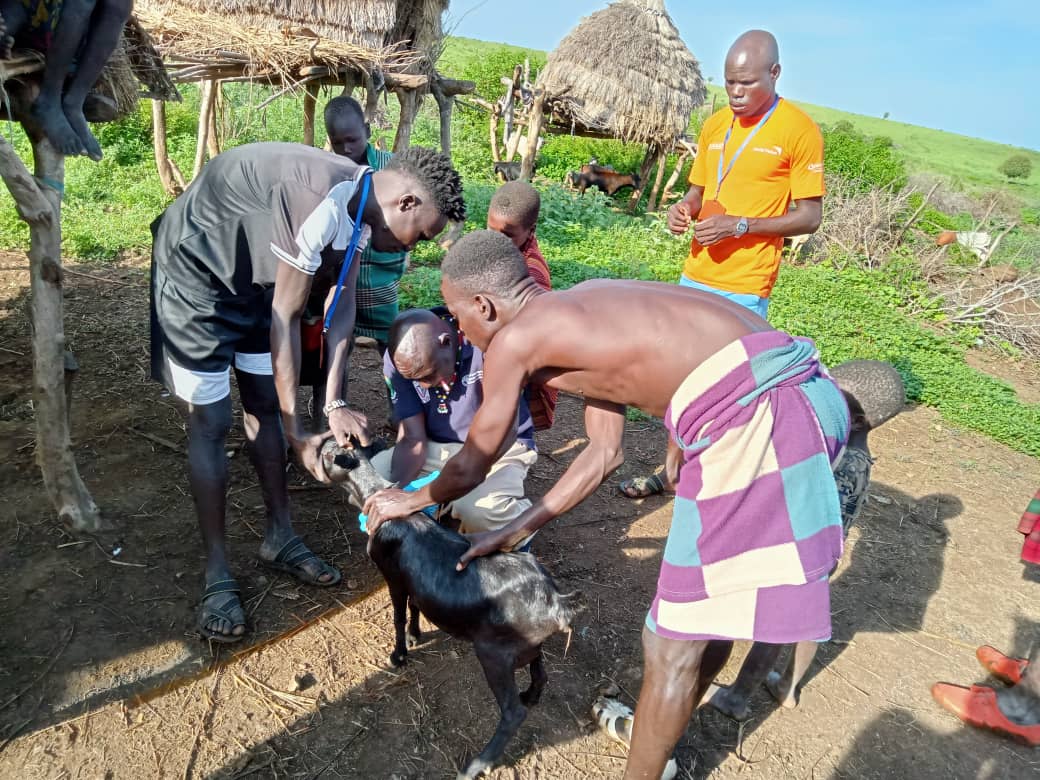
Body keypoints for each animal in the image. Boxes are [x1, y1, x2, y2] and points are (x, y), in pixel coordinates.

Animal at [322, 443, 586, 780]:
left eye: (327, 454)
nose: (314, 454)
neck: (376, 494)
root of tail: (556, 600)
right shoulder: (415, 579)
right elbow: (415, 605)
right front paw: (416, 634)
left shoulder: (393, 576)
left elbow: (398, 614)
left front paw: (399, 654)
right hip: (529, 645)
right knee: (540, 674)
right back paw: (530, 696)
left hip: (495, 654)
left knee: (512, 713)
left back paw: (477, 764)